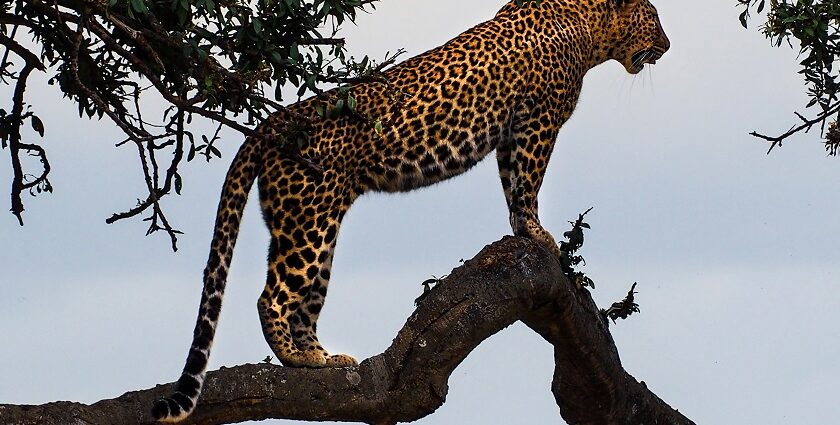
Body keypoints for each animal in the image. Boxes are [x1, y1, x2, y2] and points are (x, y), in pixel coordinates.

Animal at [153, 0, 668, 420]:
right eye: (655, 17)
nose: (666, 45)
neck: (588, 26)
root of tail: (275, 121)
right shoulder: (537, 124)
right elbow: (528, 183)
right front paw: (538, 233)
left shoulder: (511, 135)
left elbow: (512, 185)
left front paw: (524, 231)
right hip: (309, 224)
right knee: (272, 297)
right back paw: (301, 359)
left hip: (312, 225)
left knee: (304, 302)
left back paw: (323, 360)